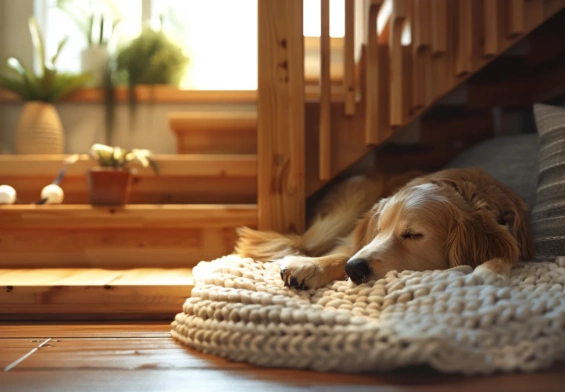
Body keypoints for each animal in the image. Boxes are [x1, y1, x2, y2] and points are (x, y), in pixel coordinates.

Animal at [237, 167, 532, 290]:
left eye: (412, 235)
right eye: (378, 230)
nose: (355, 270)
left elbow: (505, 254)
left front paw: (488, 272)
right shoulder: (358, 240)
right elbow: (347, 252)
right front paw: (310, 267)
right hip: (356, 195)